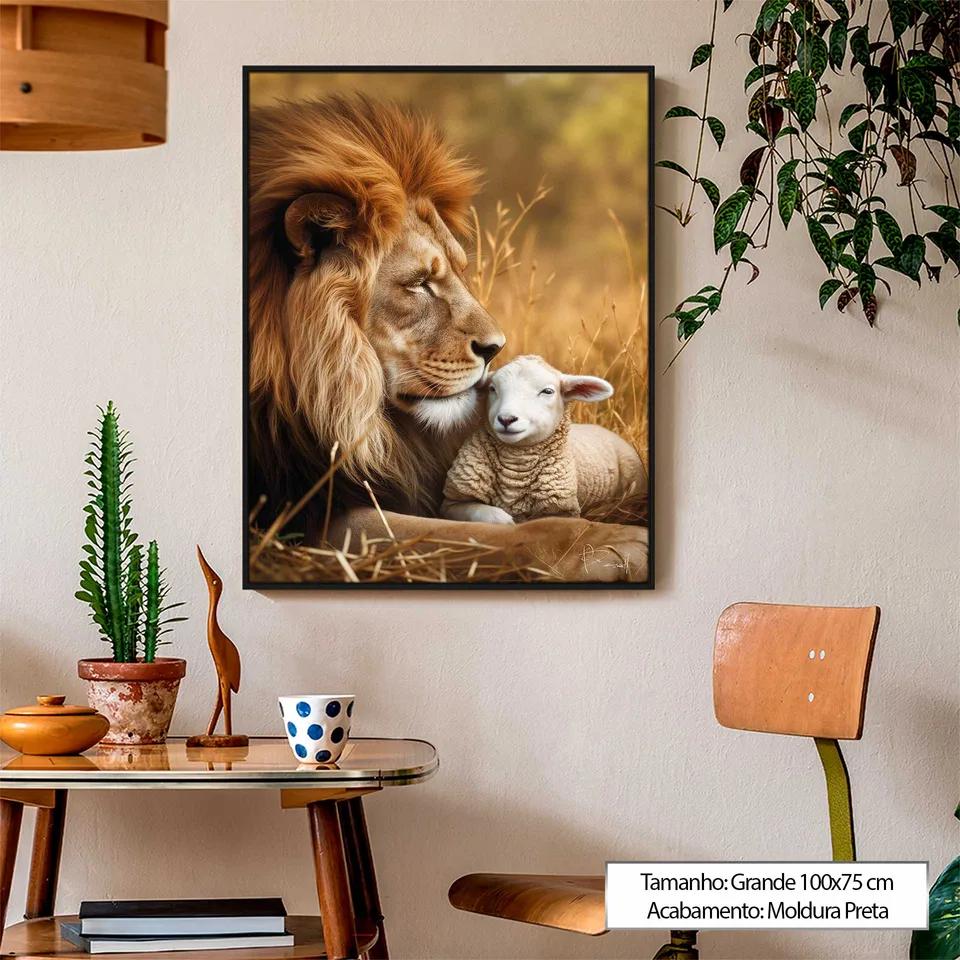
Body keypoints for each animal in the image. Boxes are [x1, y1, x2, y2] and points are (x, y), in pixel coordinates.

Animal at [248, 94, 648, 582]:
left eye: (459, 270)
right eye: (420, 283)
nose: (495, 348)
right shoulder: (302, 511)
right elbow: (482, 533)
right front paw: (616, 544)